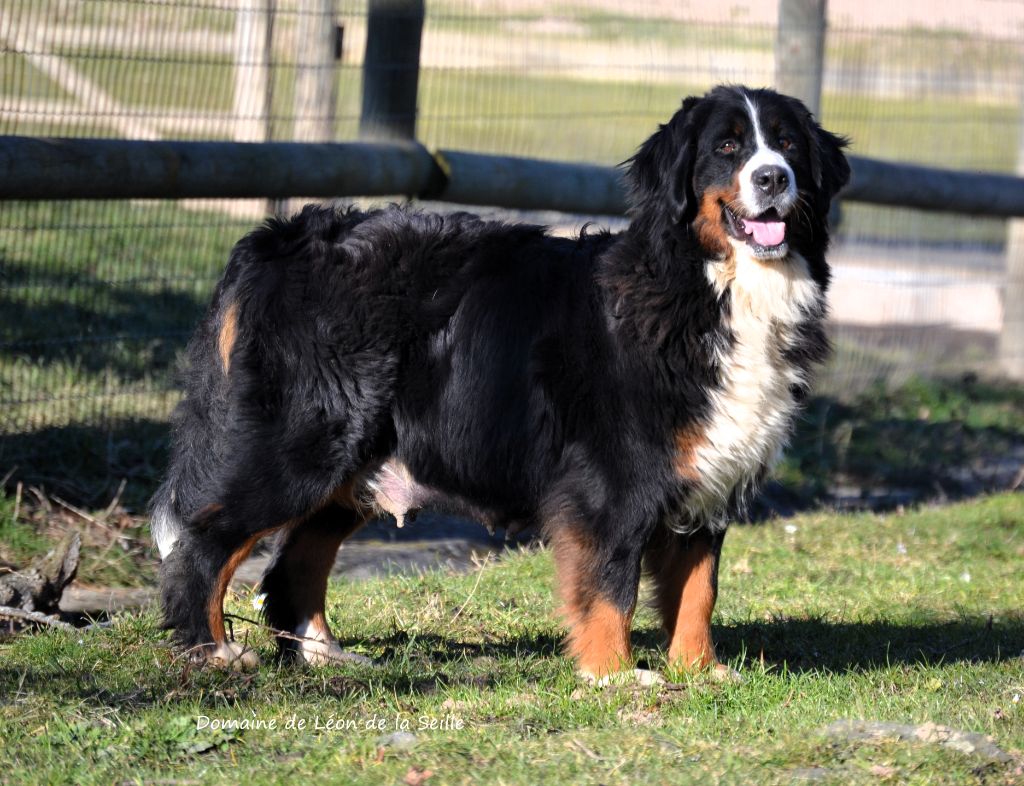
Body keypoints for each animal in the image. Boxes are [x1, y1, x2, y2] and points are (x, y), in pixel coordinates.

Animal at [153, 82, 847, 679]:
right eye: (727, 148)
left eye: (787, 145)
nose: (772, 177)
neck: (709, 288)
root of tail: (280, 239)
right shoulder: (612, 482)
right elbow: (610, 583)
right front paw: (614, 674)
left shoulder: (709, 478)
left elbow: (698, 589)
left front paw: (700, 671)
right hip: (300, 445)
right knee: (204, 541)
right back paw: (211, 652)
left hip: (354, 463)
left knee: (297, 558)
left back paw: (323, 655)